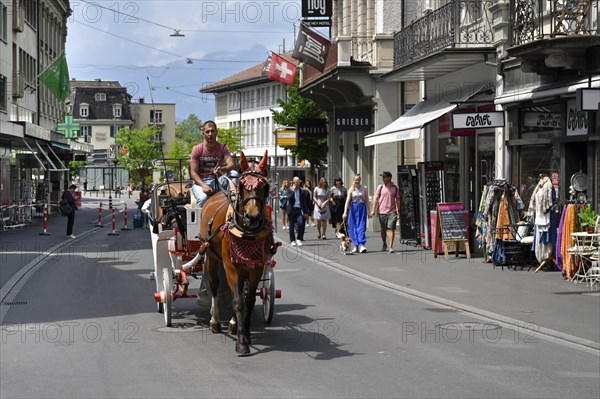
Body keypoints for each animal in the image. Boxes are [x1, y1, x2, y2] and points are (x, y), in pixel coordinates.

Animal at [202, 151, 276, 356]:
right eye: (243, 185)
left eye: (264, 186)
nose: (252, 217)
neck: (247, 232)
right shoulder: (231, 266)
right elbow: (237, 301)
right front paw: (242, 343)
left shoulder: (256, 266)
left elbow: (248, 300)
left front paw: (246, 332)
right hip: (211, 257)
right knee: (214, 286)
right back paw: (215, 321)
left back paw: (234, 323)